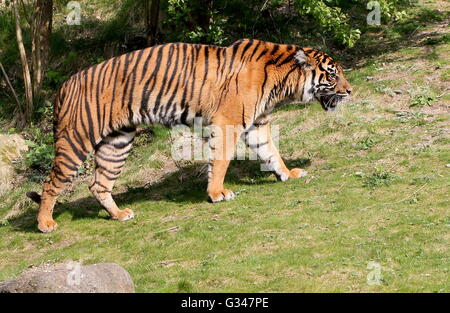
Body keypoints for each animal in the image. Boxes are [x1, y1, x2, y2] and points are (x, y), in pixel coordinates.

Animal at [26, 38, 354, 232]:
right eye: (333, 74)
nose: (350, 91)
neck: (283, 80)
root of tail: (64, 86)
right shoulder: (228, 122)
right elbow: (221, 161)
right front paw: (218, 193)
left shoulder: (257, 122)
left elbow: (270, 151)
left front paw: (287, 173)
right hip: (77, 140)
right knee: (51, 183)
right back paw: (45, 223)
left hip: (117, 141)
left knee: (98, 184)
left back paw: (119, 215)